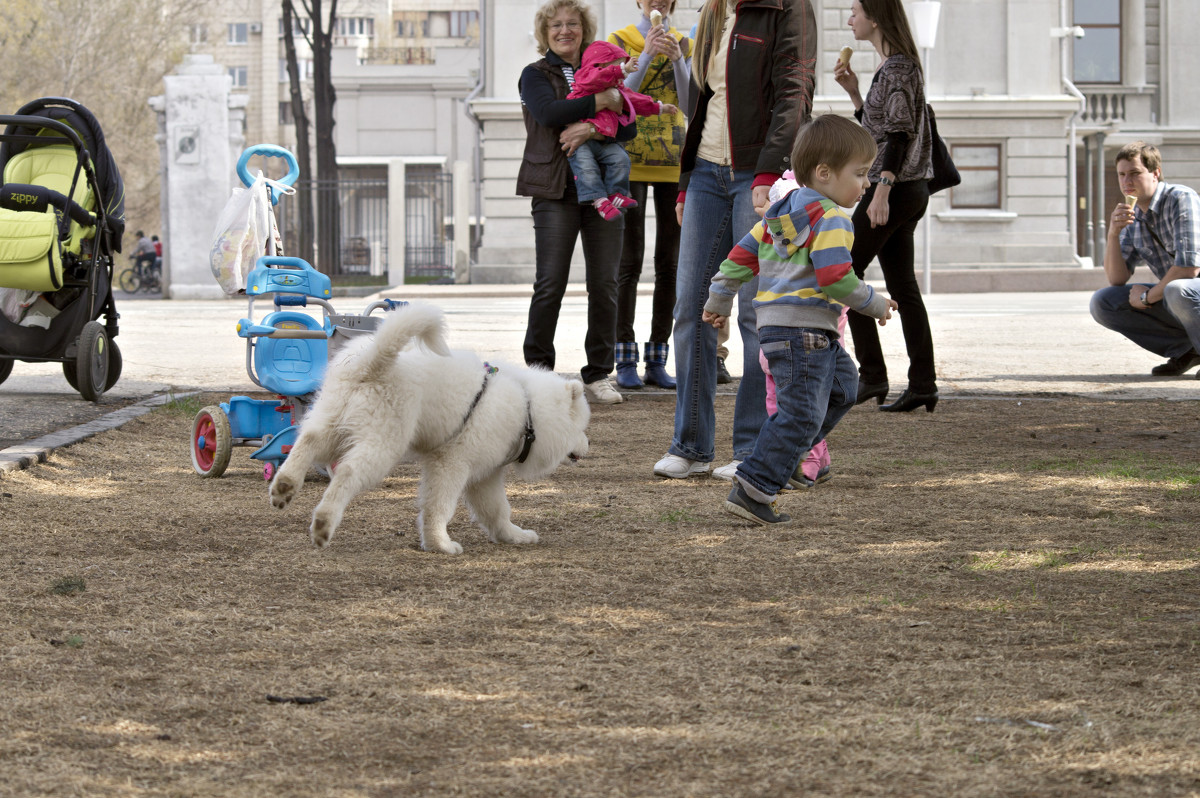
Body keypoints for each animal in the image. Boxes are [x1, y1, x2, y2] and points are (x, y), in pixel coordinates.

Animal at [270, 300, 592, 554]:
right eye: (582, 428)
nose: (589, 447)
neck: (527, 410)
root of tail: (372, 361)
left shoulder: (484, 477)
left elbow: (497, 511)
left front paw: (513, 536)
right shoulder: (450, 464)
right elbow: (439, 507)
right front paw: (440, 544)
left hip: (335, 420)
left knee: (308, 440)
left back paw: (285, 485)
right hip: (384, 443)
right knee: (346, 473)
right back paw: (323, 523)